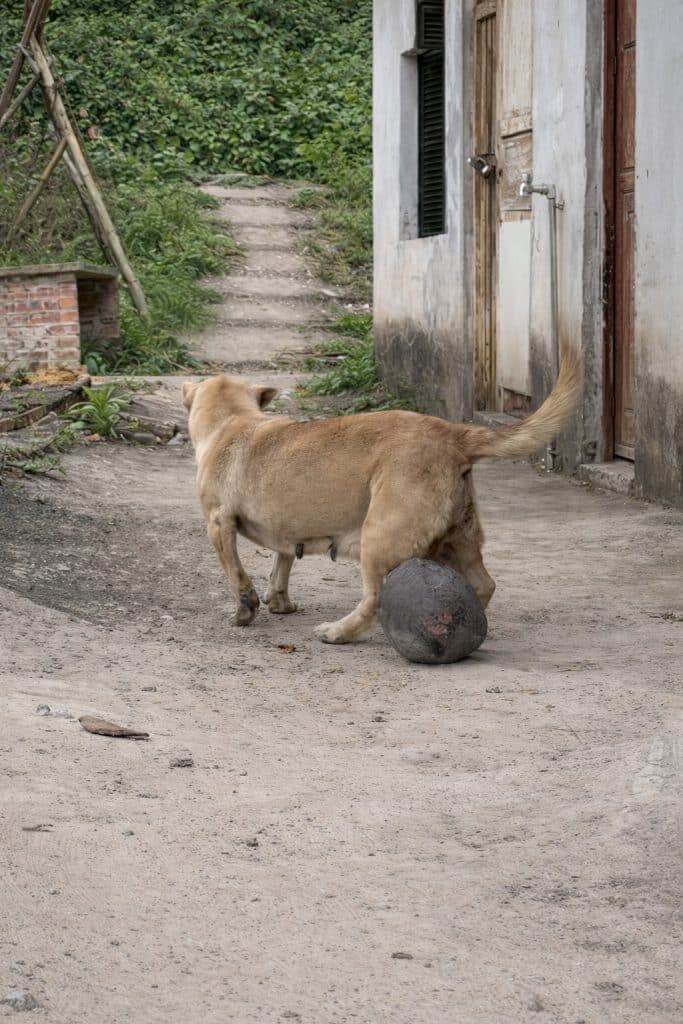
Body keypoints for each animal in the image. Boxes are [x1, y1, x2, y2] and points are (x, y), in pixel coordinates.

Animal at [182, 346, 581, 644]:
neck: (232, 420)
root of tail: (453, 435)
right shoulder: (287, 533)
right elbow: (281, 565)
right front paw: (279, 601)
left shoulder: (218, 525)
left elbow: (237, 574)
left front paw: (244, 610)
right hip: (459, 539)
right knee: (484, 584)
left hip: (377, 539)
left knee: (373, 599)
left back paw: (338, 632)